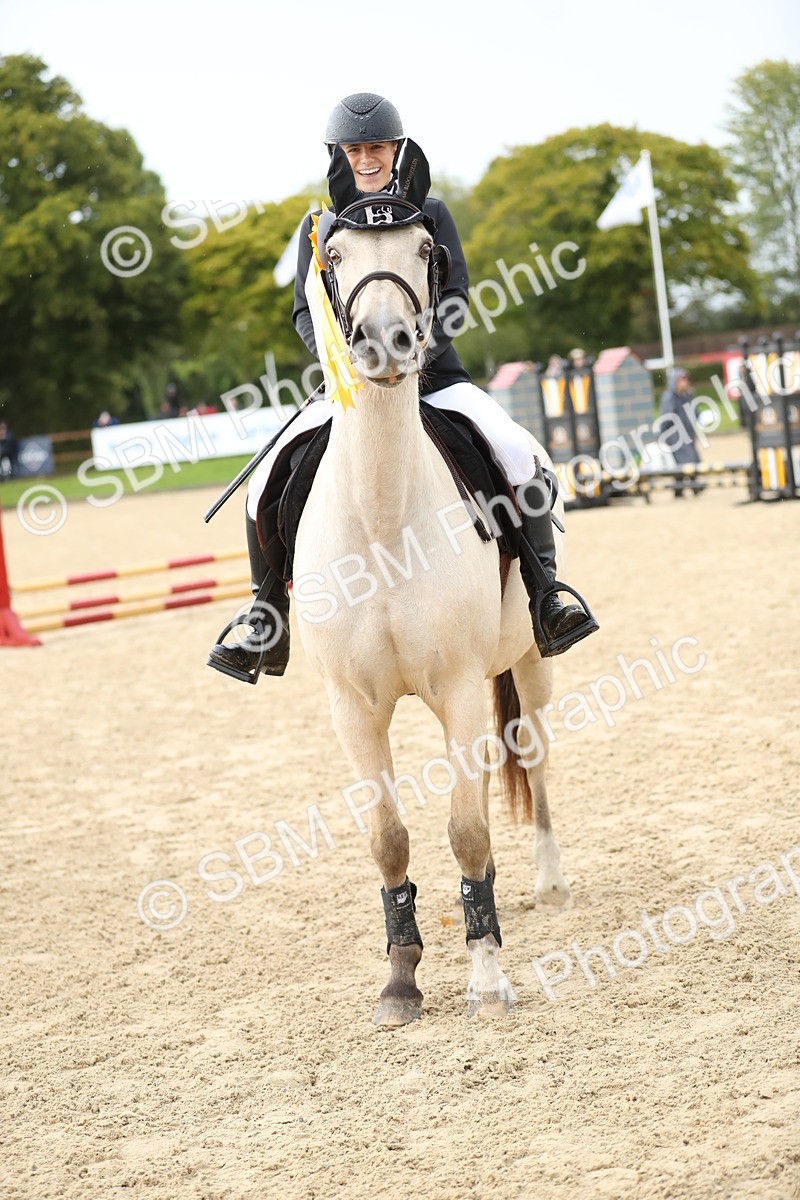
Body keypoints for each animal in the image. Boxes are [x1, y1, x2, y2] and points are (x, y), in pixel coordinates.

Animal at [291, 204, 572, 1026]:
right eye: (334, 255)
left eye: (424, 248)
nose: (385, 341)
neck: (383, 518)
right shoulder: (352, 709)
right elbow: (389, 840)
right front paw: (401, 980)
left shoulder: (457, 693)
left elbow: (467, 829)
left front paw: (486, 978)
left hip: (530, 661)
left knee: (535, 756)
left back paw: (547, 882)